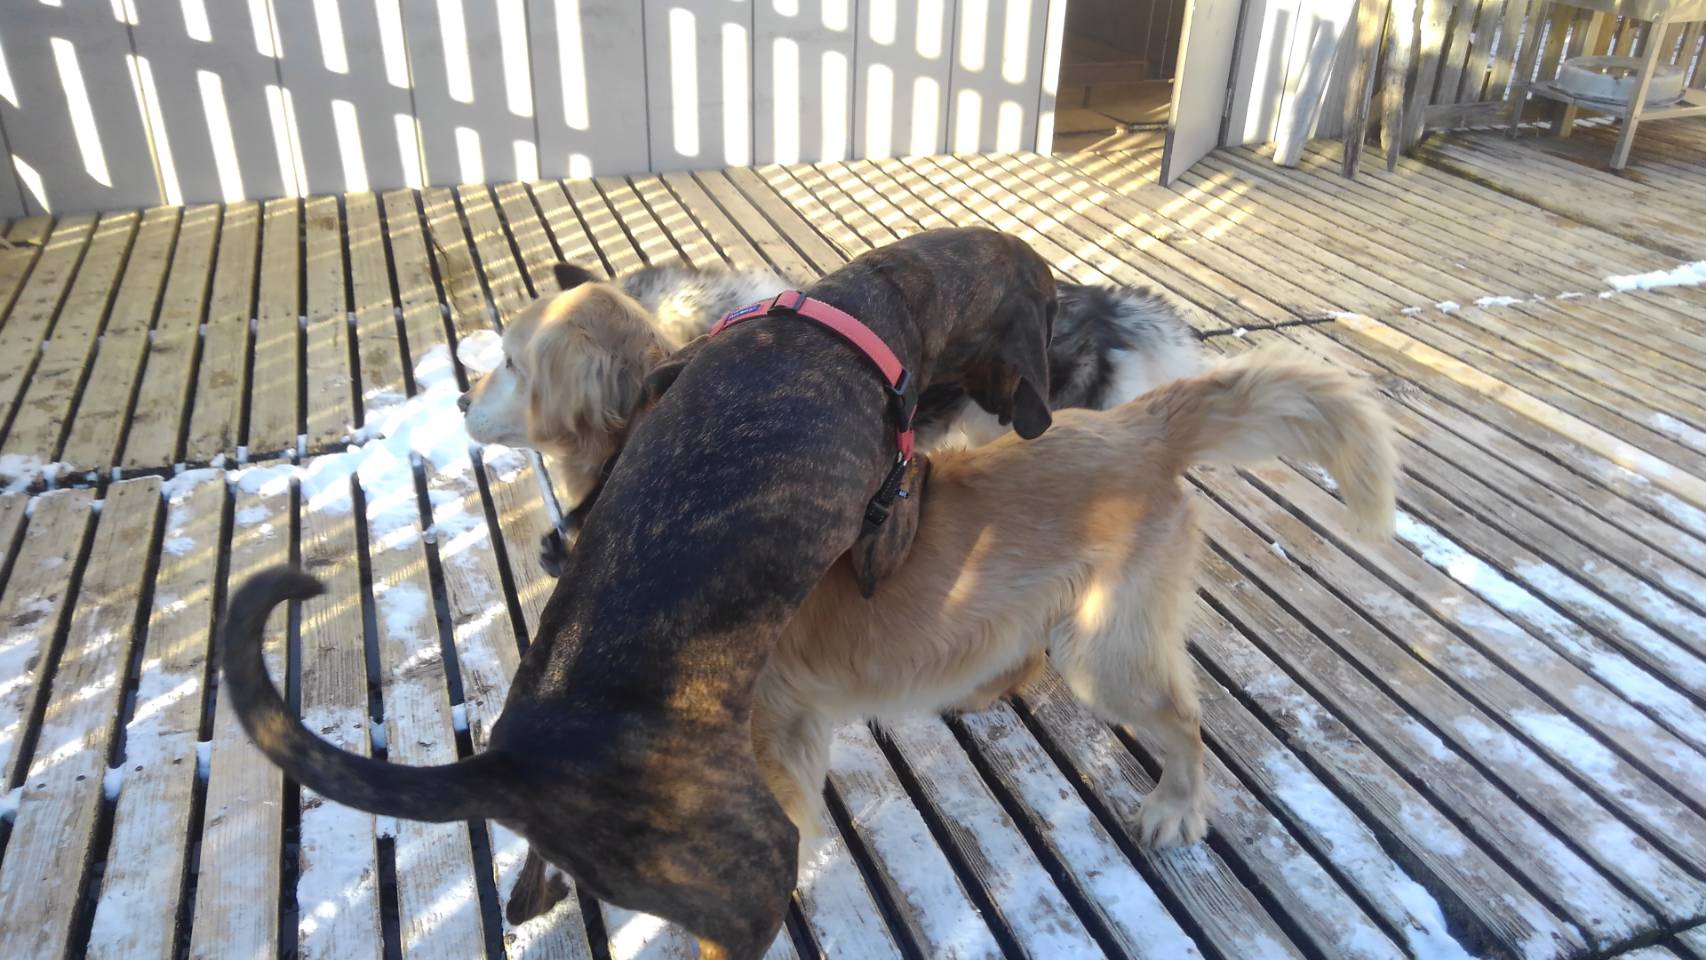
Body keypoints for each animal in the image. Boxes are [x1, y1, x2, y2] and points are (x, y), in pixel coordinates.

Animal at [221, 226, 1059, 960]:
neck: (865, 302)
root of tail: (515, 763)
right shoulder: (883, 527)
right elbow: (904, 494)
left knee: (530, 891)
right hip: (755, 869)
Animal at [509, 343, 1397, 926]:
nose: (518, 911)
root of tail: (1141, 428)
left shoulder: (773, 738)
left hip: (1103, 652)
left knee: (1183, 719)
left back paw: (1176, 807)